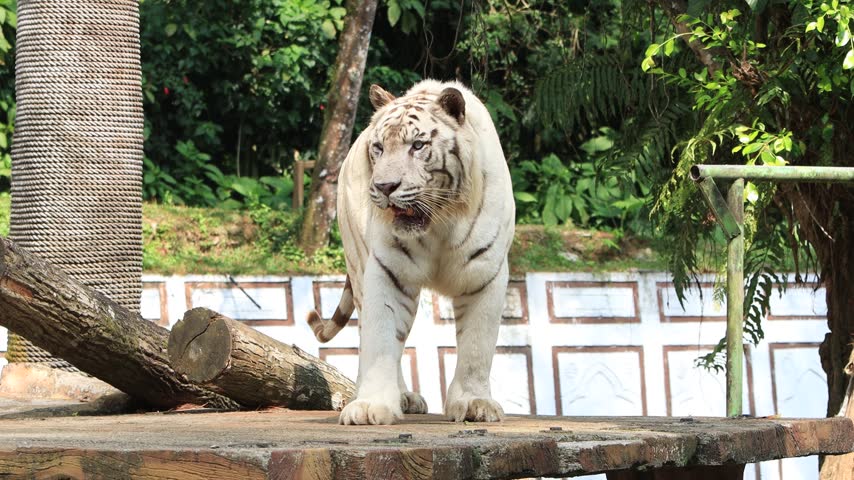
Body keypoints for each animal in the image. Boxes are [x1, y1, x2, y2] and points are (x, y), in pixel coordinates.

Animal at [307, 79, 515, 425]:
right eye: (379, 147)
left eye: (417, 145)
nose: (384, 187)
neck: (441, 220)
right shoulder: (388, 270)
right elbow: (380, 338)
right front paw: (371, 405)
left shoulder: (485, 274)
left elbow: (477, 347)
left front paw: (474, 403)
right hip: (359, 263)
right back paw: (401, 396)